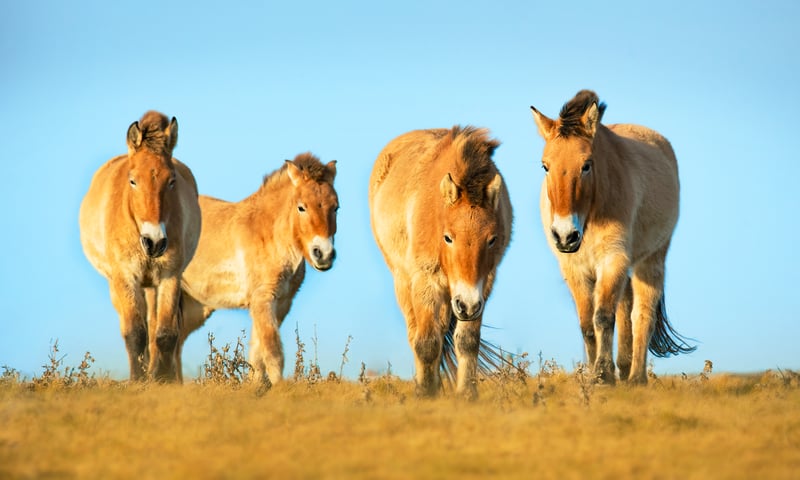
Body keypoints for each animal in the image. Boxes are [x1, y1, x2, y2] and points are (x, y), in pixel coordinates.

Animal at [79, 111, 201, 382]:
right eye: (133, 181)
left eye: (171, 180)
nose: (154, 242)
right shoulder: (126, 278)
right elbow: (135, 332)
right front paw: (138, 380)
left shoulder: (170, 277)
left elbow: (165, 333)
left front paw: (163, 380)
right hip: (120, 286)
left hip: (153, 286)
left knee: (155, 326)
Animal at [178, 153, 339, 385]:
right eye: (301, 207)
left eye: (336, 207)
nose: (324, 254)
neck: (269, 235)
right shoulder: (263, 300)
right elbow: (273, 352)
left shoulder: (280, 304)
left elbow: (257, 355)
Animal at [369, 126, 513, 399]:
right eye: (448, 237)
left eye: (492, 239)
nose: (467, 305)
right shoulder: (426, 282)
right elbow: (426, 342)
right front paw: (426, 394)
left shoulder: (482, 286)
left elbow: (467, 341)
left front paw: (467, 394)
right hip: (405, 283)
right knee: (416, 333)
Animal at [530, 90, 695, 385]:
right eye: (545, 166)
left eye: (586, 165)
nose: (565, 235)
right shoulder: (574, 268)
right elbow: (587, 324)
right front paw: (594, 372)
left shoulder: (612, 260)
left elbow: (604, 317)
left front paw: (602, 374)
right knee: (626, 308)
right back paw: (625, 367)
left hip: (650, 261)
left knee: (642, 315)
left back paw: (636, 378)